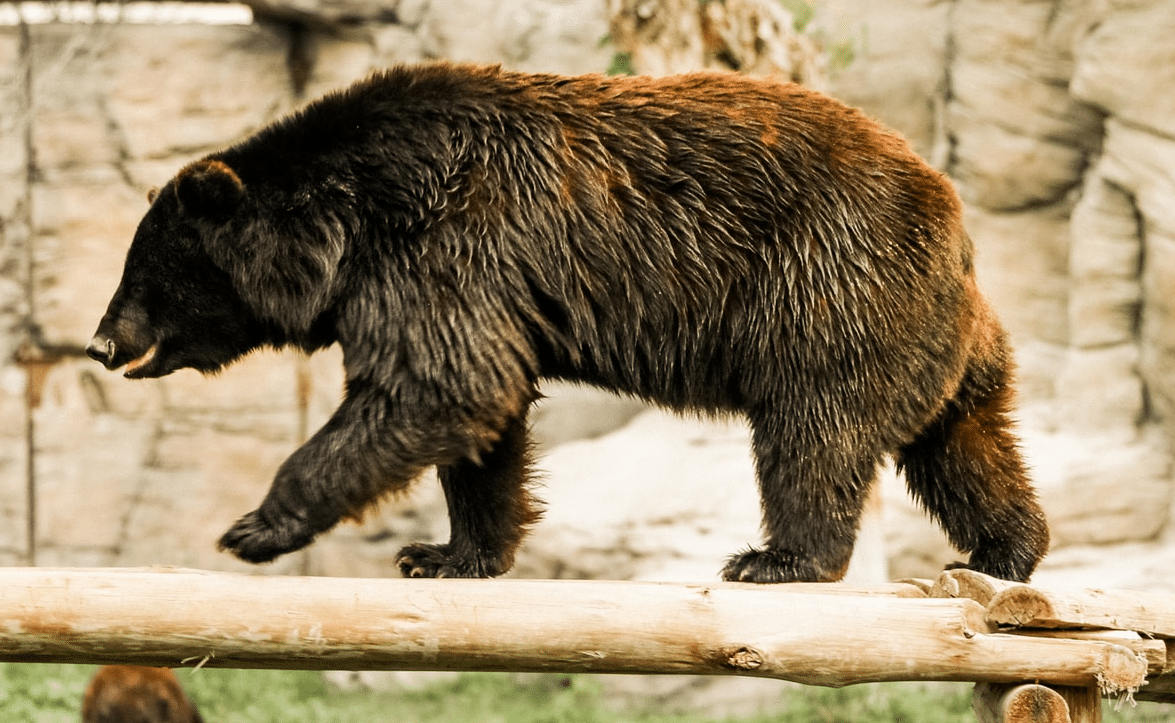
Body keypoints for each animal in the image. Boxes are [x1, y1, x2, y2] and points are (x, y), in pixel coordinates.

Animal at [86, 60, 1052, 583]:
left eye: (143, 274)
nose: (101, 342)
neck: (348, 223)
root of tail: (952, 220)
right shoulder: (456, 272)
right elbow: (480, 412)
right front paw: (446, 552)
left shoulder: (441, 241)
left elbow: (437, 383)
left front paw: (254, 526)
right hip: (936, 339)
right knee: (965, 446)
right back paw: (1002, 551)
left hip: (825, 288)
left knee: (810, 431)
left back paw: (776, 557)